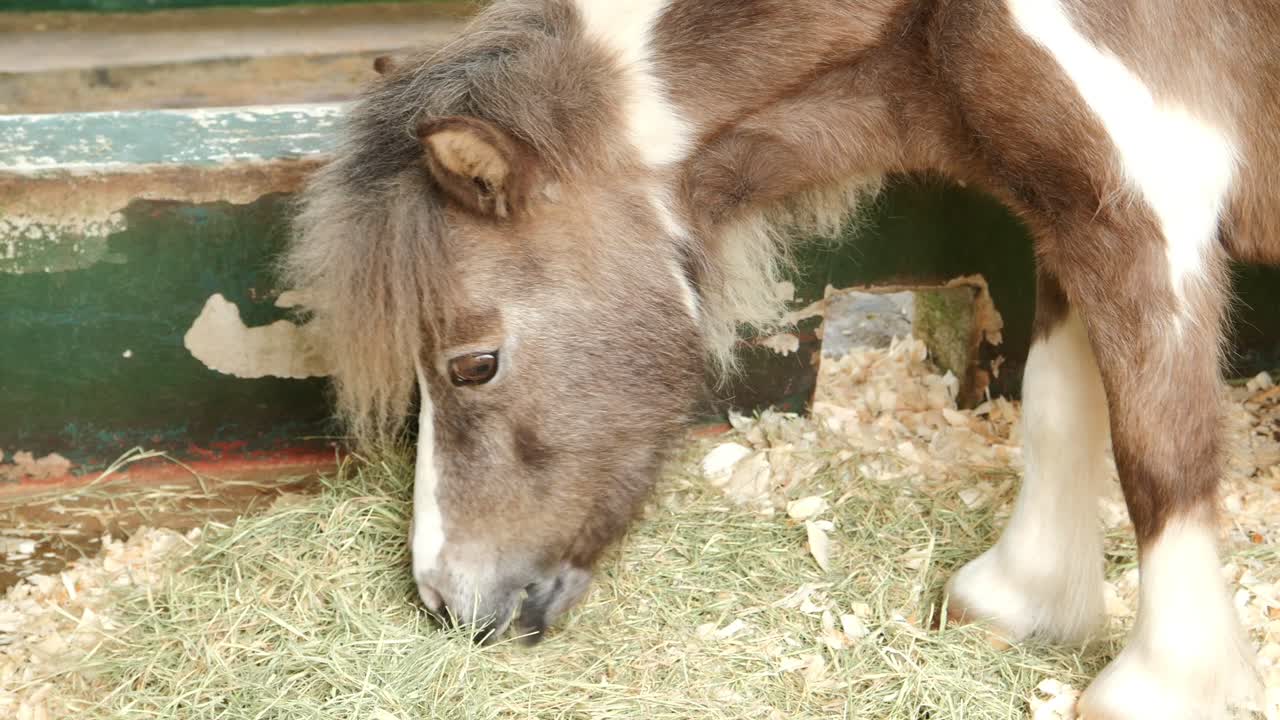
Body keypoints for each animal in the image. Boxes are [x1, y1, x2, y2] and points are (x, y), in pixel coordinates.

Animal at [284, 1, 1280, 717]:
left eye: (474, 364)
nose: (448, 603)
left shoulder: (1145, 216)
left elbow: (1158, 450)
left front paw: (1164, 685)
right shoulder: (1067, 210)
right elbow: (1059, 411)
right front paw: (1024, 596)